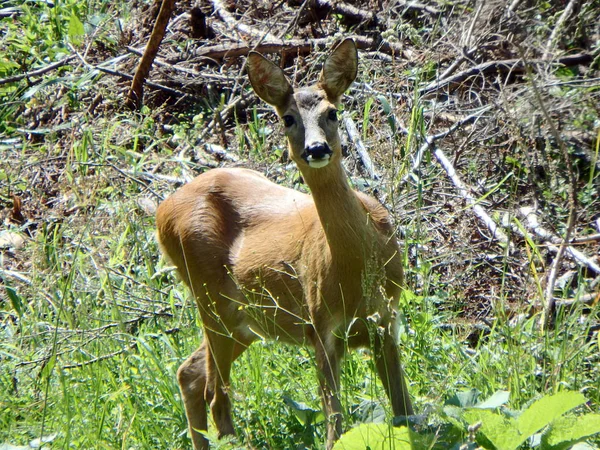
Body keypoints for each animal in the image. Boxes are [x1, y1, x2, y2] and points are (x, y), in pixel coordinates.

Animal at [156, 39, 412, 450]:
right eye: (288, 118)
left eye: (332, 112)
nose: (316, 149)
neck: (354, 271)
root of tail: (161, 211)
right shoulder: (320, 325)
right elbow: (334, 425)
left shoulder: (386, 320)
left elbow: (406, 411)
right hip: (210, 300)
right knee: (216, 395)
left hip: (245, 321)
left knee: (189, 373)